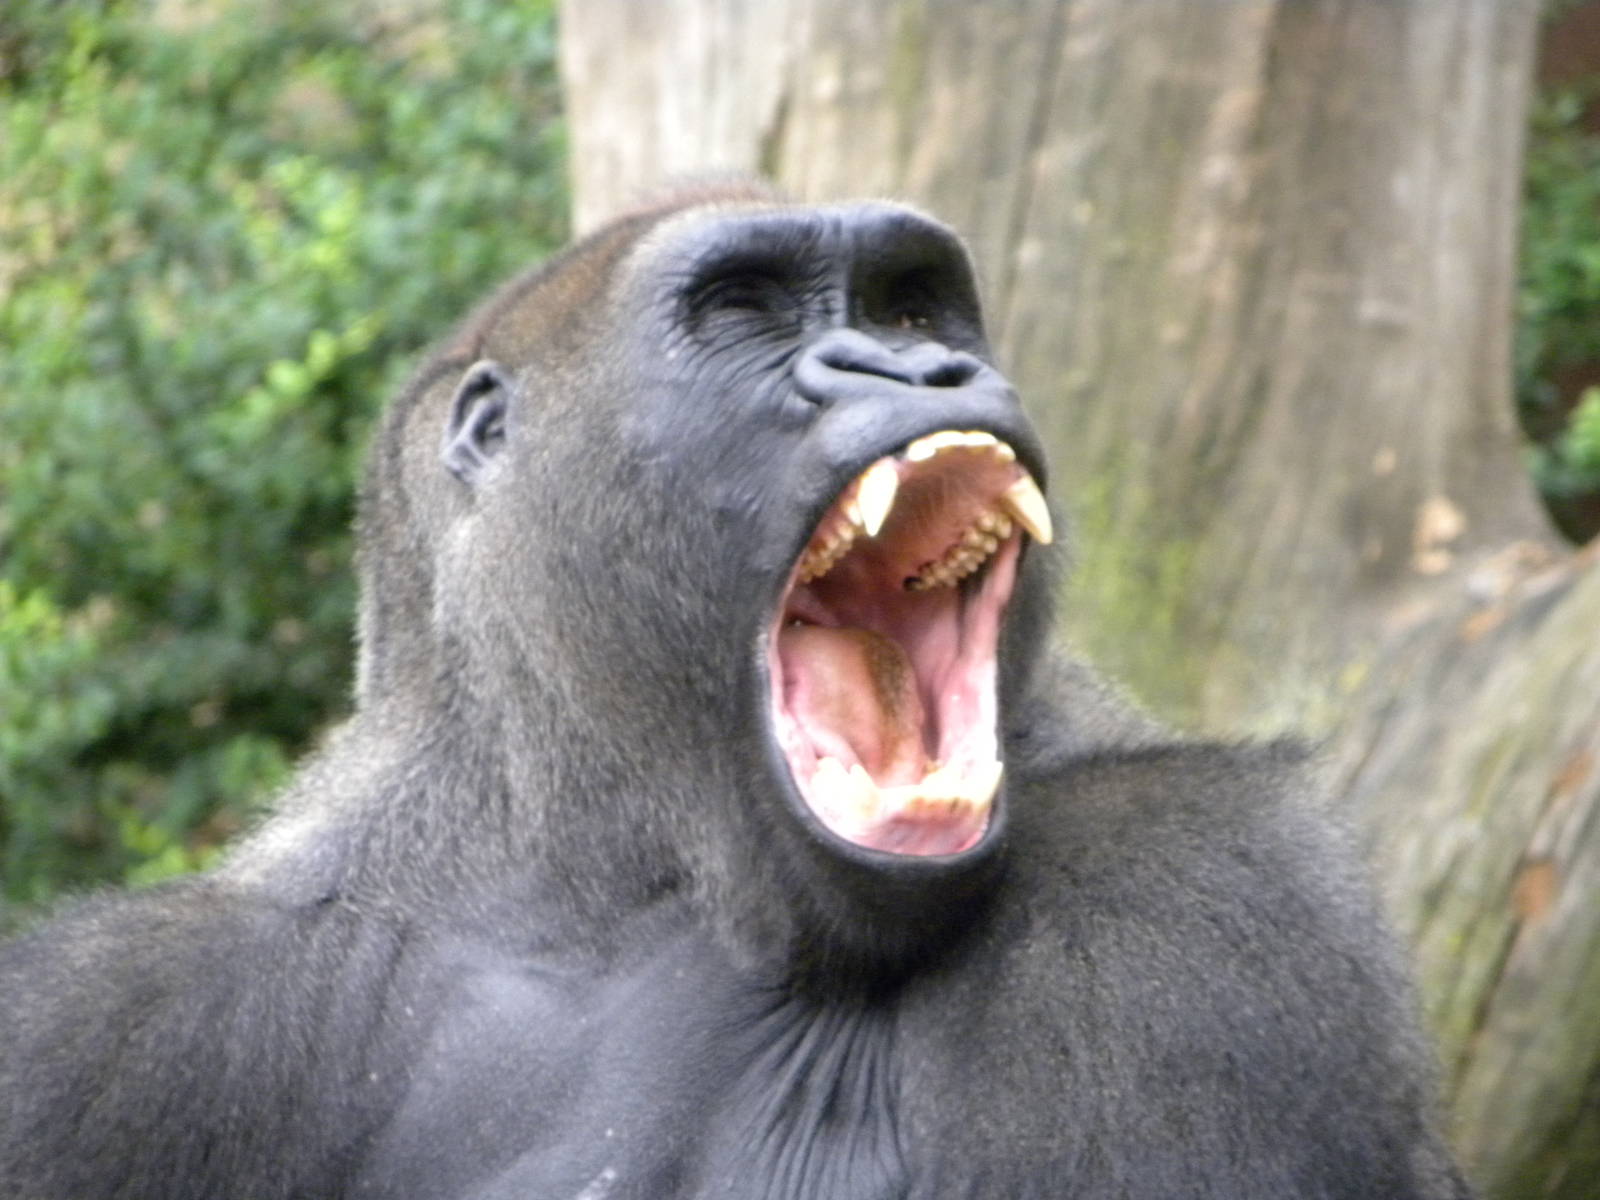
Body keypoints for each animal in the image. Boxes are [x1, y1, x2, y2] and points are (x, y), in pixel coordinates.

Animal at [0, 185, 1472, 1199]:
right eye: (746, 311)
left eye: (911, 311)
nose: (917, 370)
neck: (600, 871)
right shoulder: (112, 1027)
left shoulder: (1201, 893)